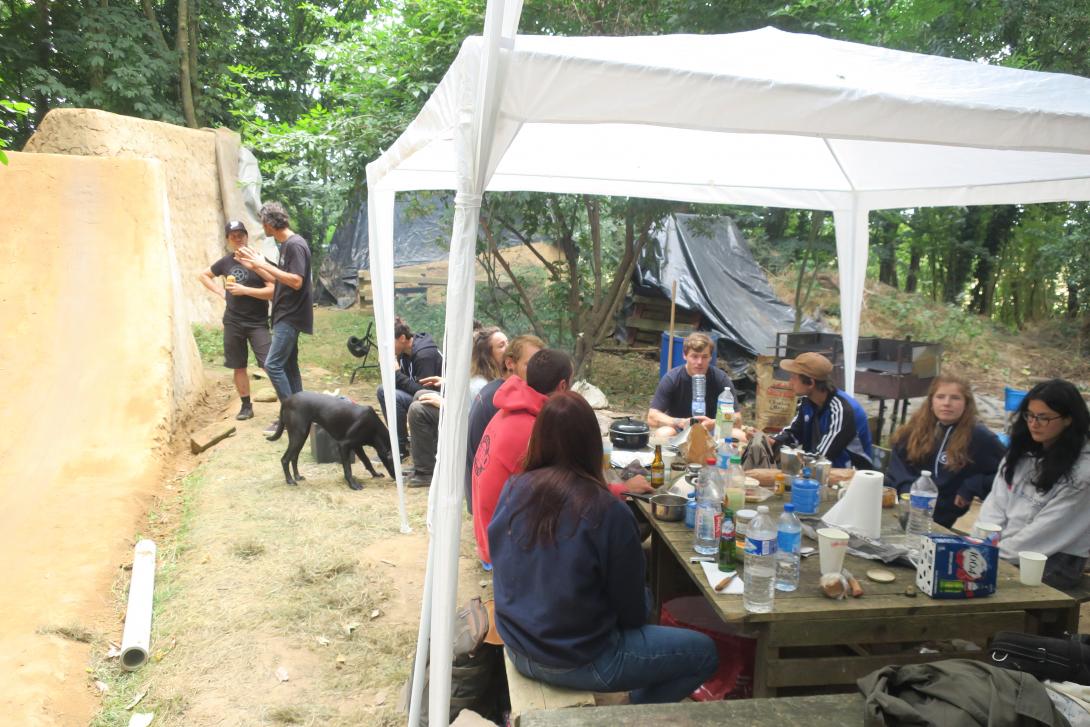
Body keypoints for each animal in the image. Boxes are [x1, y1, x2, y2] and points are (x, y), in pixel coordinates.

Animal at [267, 391, 397, 490]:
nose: (398, 478)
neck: (374, 428)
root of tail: (287, 400)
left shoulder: (357, 446)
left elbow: (367, 462)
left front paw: (375, 474)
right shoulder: (343, 445)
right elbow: (348, 469)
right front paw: (353, 485)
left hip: (301, 436)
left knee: (294, 457)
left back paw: (297, 476)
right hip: (298, 436)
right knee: (285, 459)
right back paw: (290, 481)